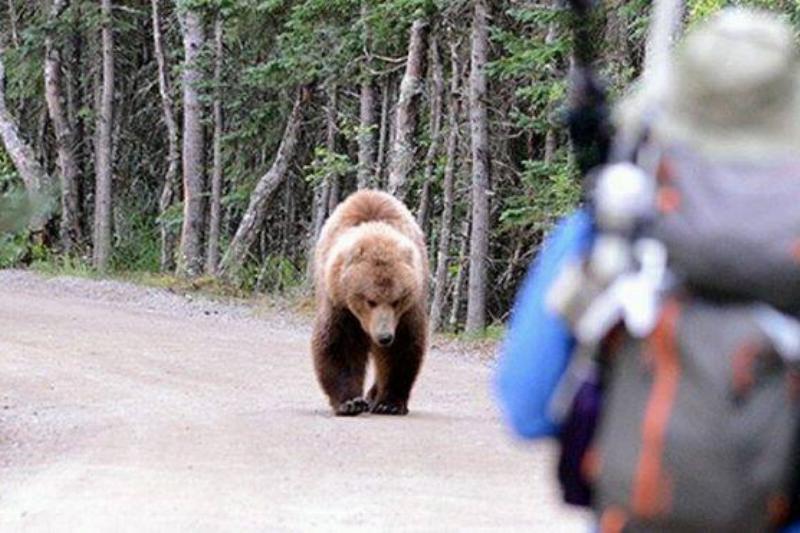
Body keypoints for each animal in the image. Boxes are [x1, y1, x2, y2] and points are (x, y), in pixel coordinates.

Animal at [311, 189, 429, 416]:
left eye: (396, 300)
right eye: (370, 301)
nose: (384, 337)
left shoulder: (407, 312)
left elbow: (401, 348)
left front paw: (389, 403)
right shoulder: (340, 304)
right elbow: (340, 345)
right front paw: (350, 402)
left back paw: (374, 395)